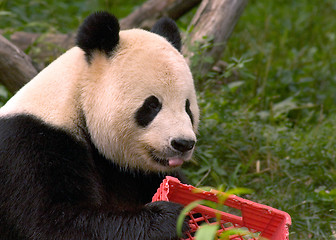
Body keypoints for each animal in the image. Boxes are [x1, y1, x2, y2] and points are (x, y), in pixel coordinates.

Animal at [0, 10, 200, 238]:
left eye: (187, 107)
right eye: (152, 105)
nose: (183, 143)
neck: (76, 100)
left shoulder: (138, 173)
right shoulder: (30, 146)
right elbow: (53, 221)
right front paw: (169, 218)